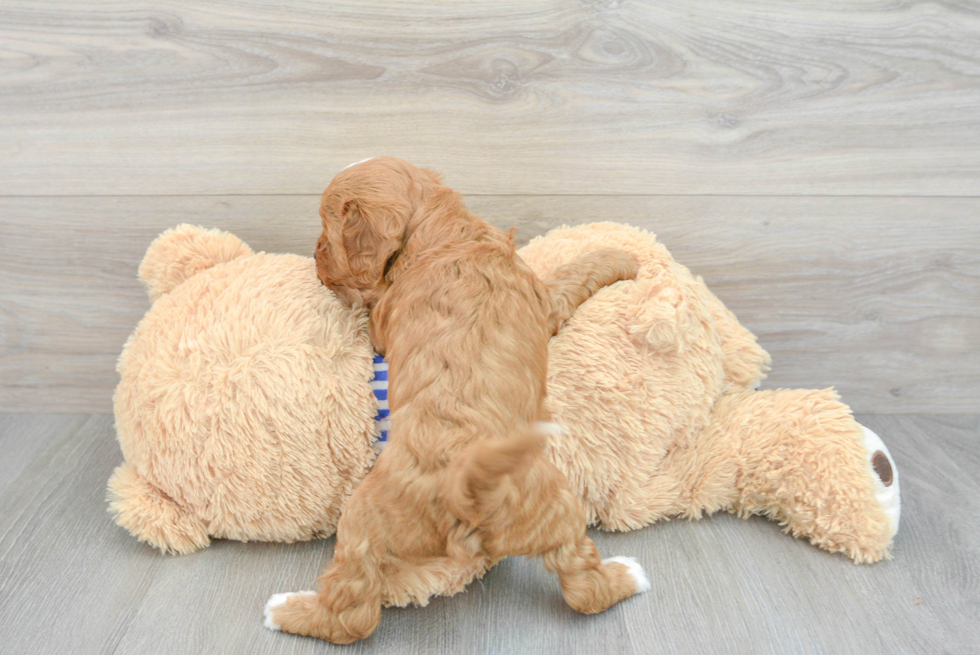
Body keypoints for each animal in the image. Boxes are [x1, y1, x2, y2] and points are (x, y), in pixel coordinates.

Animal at [264, 159, 648, 644]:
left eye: (326, 229)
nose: (314, 257)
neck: (444, 233)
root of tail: (468, 493)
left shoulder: (386, 324)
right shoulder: (543, 303)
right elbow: (569, 273)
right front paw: (624, 255)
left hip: (360, 524)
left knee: (351, 615)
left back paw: (284, 610)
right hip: (555, 508)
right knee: (583, 584)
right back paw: (630, 575)